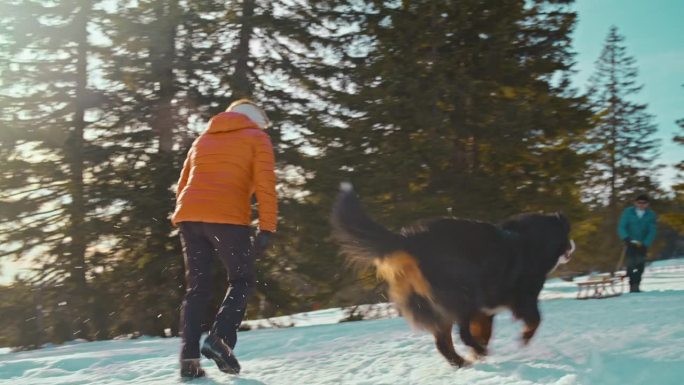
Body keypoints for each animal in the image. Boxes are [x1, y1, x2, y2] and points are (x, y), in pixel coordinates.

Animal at [330, 183, 572, 366]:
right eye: (567, 235)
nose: (573, 245)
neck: (529, 240)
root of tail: (409, 240)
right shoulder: (524, 299)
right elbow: (535, 320)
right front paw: (523, 340)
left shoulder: (485, 312)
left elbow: (485, 332)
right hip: (464, 293)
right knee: (461, 335)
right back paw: (478, 354)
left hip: (434, 305)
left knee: (443, 343)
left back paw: (464, 362)